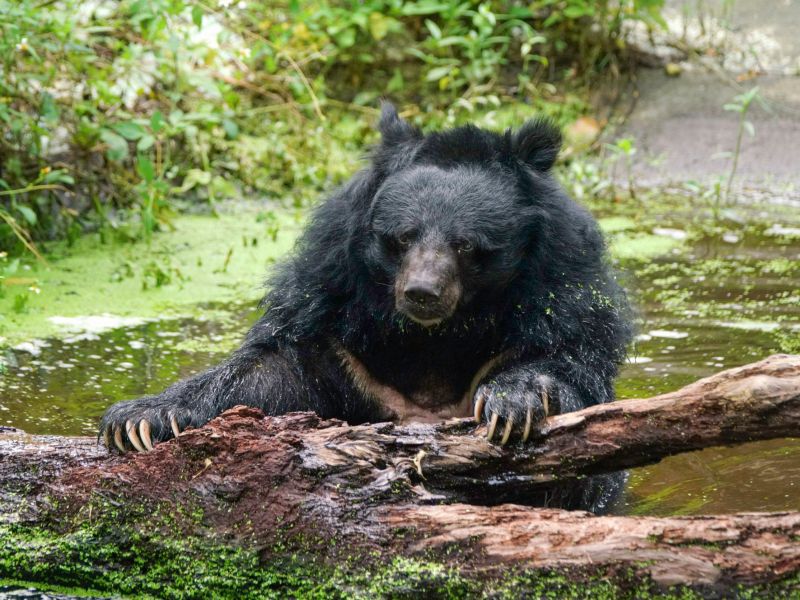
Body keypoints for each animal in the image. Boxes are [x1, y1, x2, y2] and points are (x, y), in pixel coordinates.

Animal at [98, 104, 632, 474]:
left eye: (465, 245)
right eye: (402, 237)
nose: (421, 293)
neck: (435, 338)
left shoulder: (563, 279)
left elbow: (569, 357)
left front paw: (510, 404)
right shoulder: (333, 308)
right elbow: (269, 369)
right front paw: (137, 420)